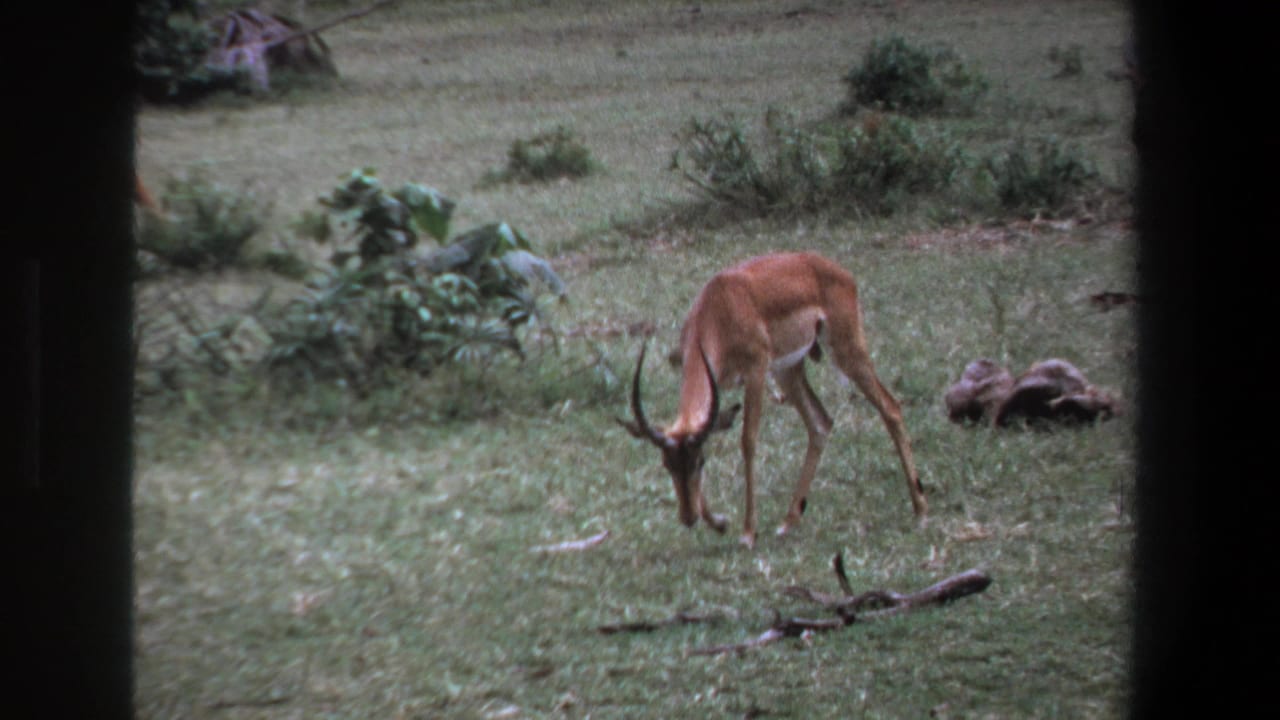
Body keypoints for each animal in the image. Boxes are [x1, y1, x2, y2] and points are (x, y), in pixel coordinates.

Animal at [618, 252, 927, 548]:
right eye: (667, 464)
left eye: (700, 463)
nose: (688, 517)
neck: (720, 306)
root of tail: (839, 271)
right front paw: (720, 523)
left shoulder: (756, 372)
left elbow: (748, 441)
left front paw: (748, 533)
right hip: (787, 371)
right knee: (820, 423)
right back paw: (788, 521)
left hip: (846, 351)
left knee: (891, 407)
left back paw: (921, 509)